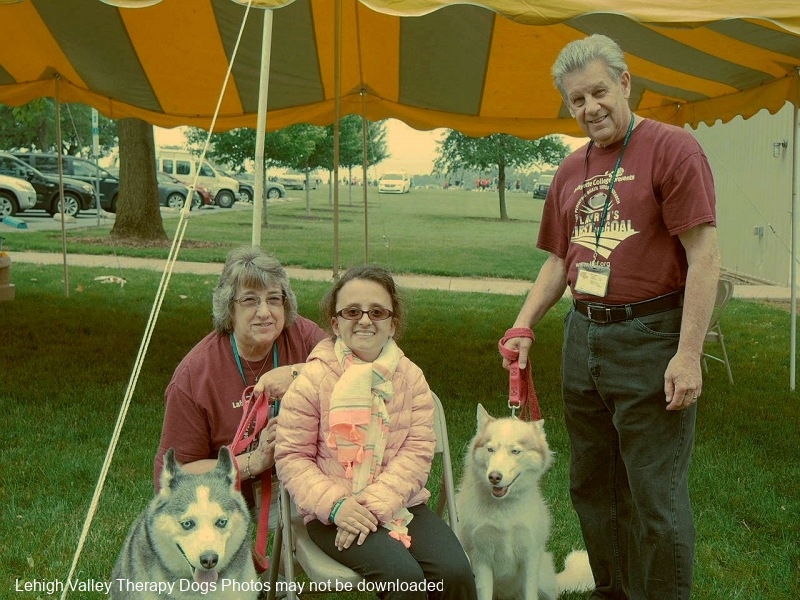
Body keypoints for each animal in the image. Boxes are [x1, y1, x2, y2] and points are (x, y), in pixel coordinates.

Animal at [456, 404, 594, 600]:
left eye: (515, 451)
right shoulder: (481, 559)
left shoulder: (529, 558)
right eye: (490, 450)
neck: (504, 511)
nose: (494, 477)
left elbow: (530, 592)